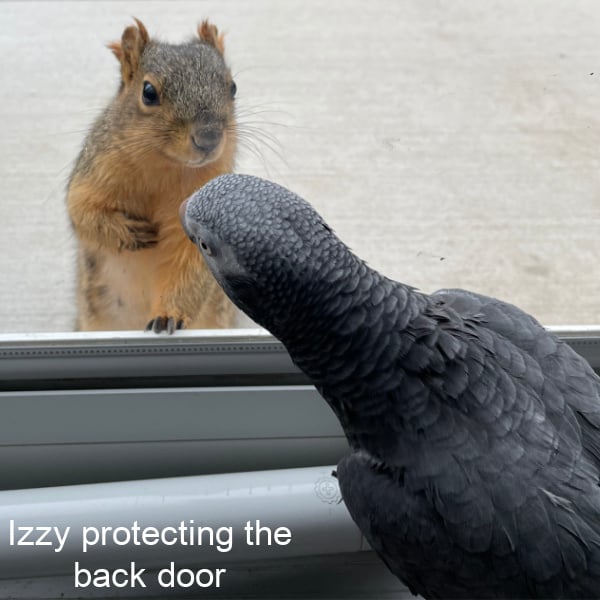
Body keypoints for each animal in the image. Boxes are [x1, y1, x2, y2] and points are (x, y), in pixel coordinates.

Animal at [68, 17, 239, 332]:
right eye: (148, 92)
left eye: (232, 87)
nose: (208, 138)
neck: (167, 166)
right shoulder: (94, 172)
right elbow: (83, 211)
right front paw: (126, 232)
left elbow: (190, 264)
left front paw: (168, 316)